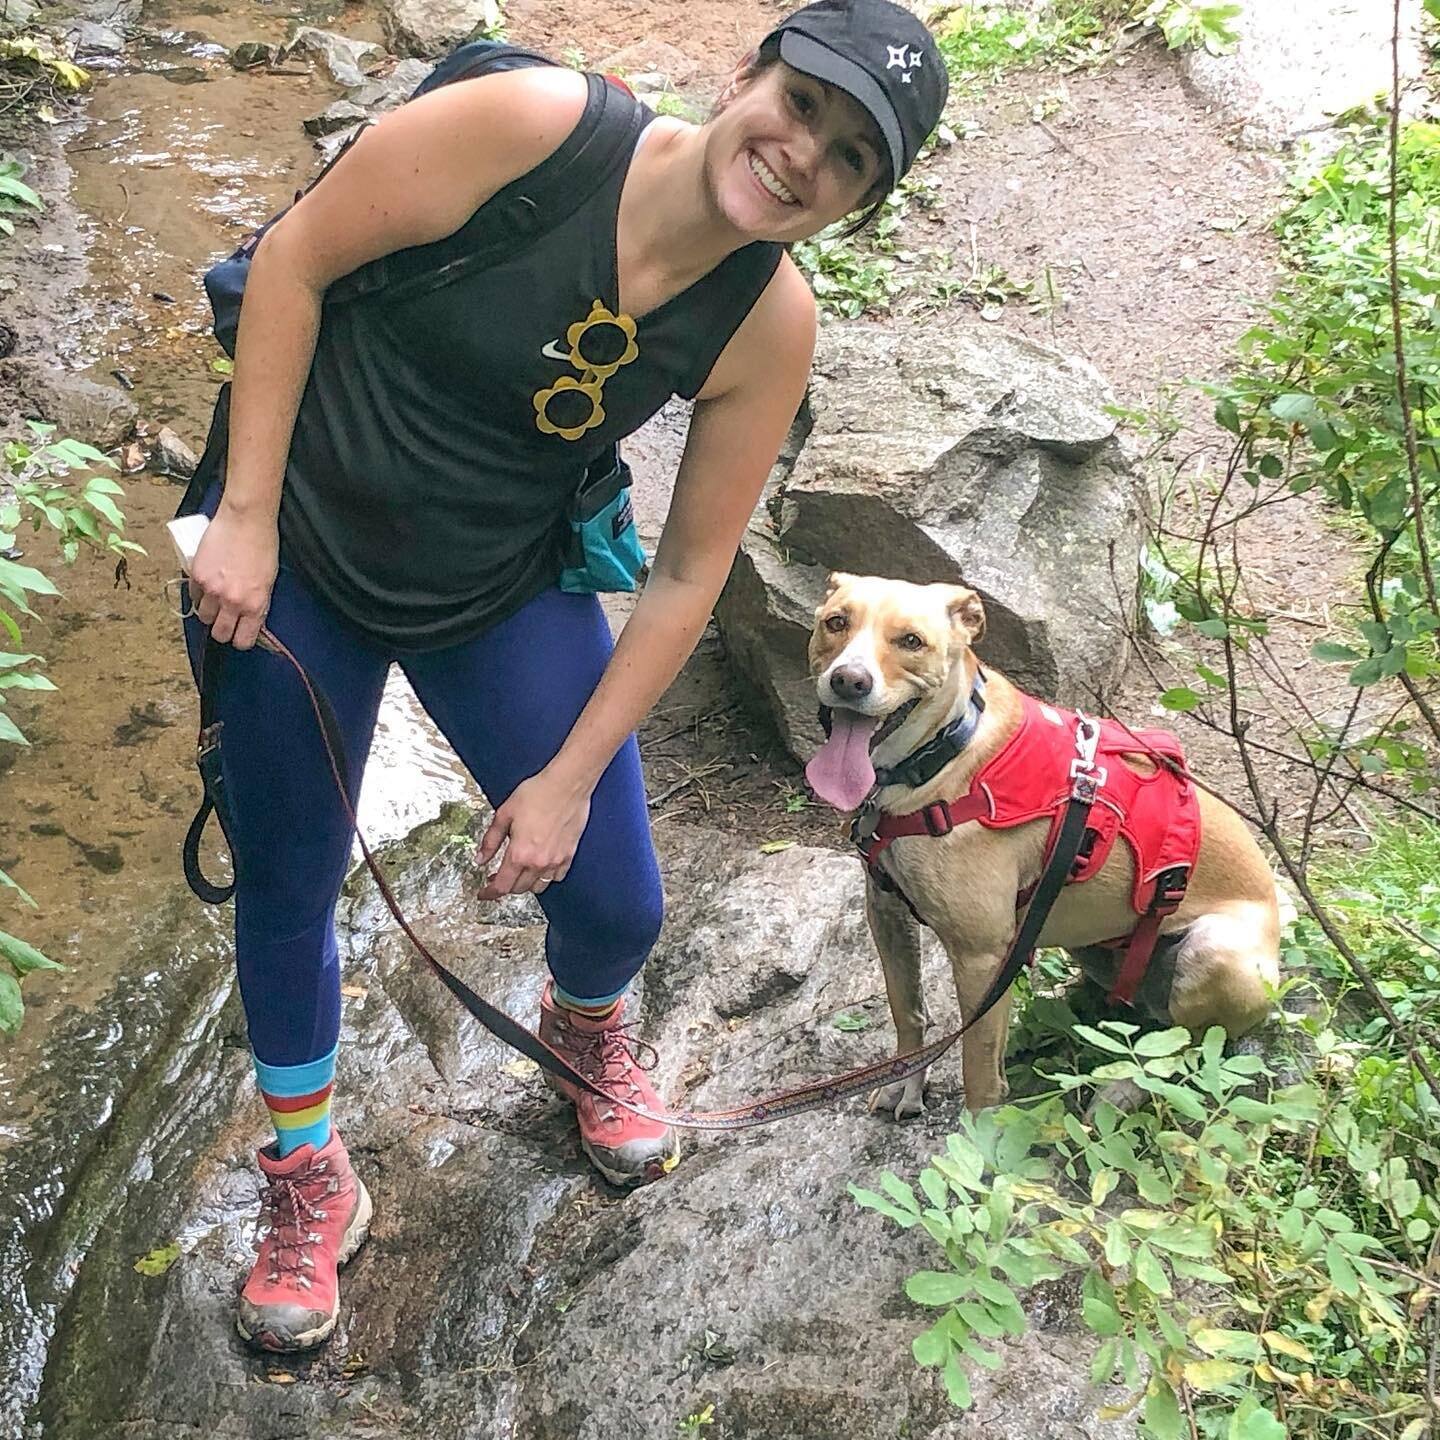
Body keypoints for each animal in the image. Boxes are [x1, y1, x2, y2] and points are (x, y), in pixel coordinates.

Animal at [806, 570, 1278, 1111]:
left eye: (911, 641)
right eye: (835, 623)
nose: (849, 680)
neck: (943, 757)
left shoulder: (980, 956)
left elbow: (978, 1072)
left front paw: (979, 1130)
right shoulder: (885, 910)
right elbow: (907, 1012)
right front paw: (905, 1083)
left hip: (1216, 955)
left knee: (1189, 1049)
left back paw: (1120, 1090)